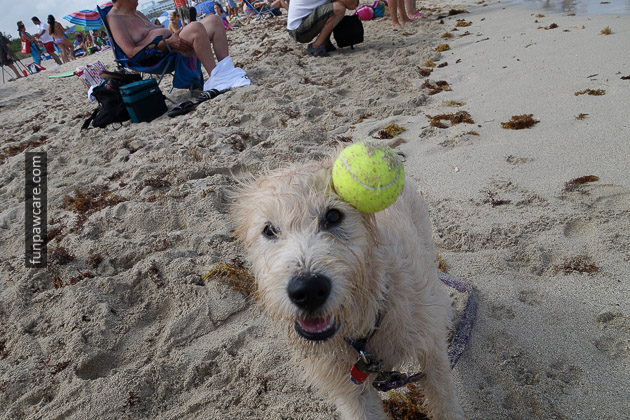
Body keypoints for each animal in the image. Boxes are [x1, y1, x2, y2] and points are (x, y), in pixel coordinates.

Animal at [231, 143, 464, 418]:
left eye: (333, 216)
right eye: (268, 230)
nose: (308, 290)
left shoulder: (432, 354)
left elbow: (444, 401)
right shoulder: (352, 392)